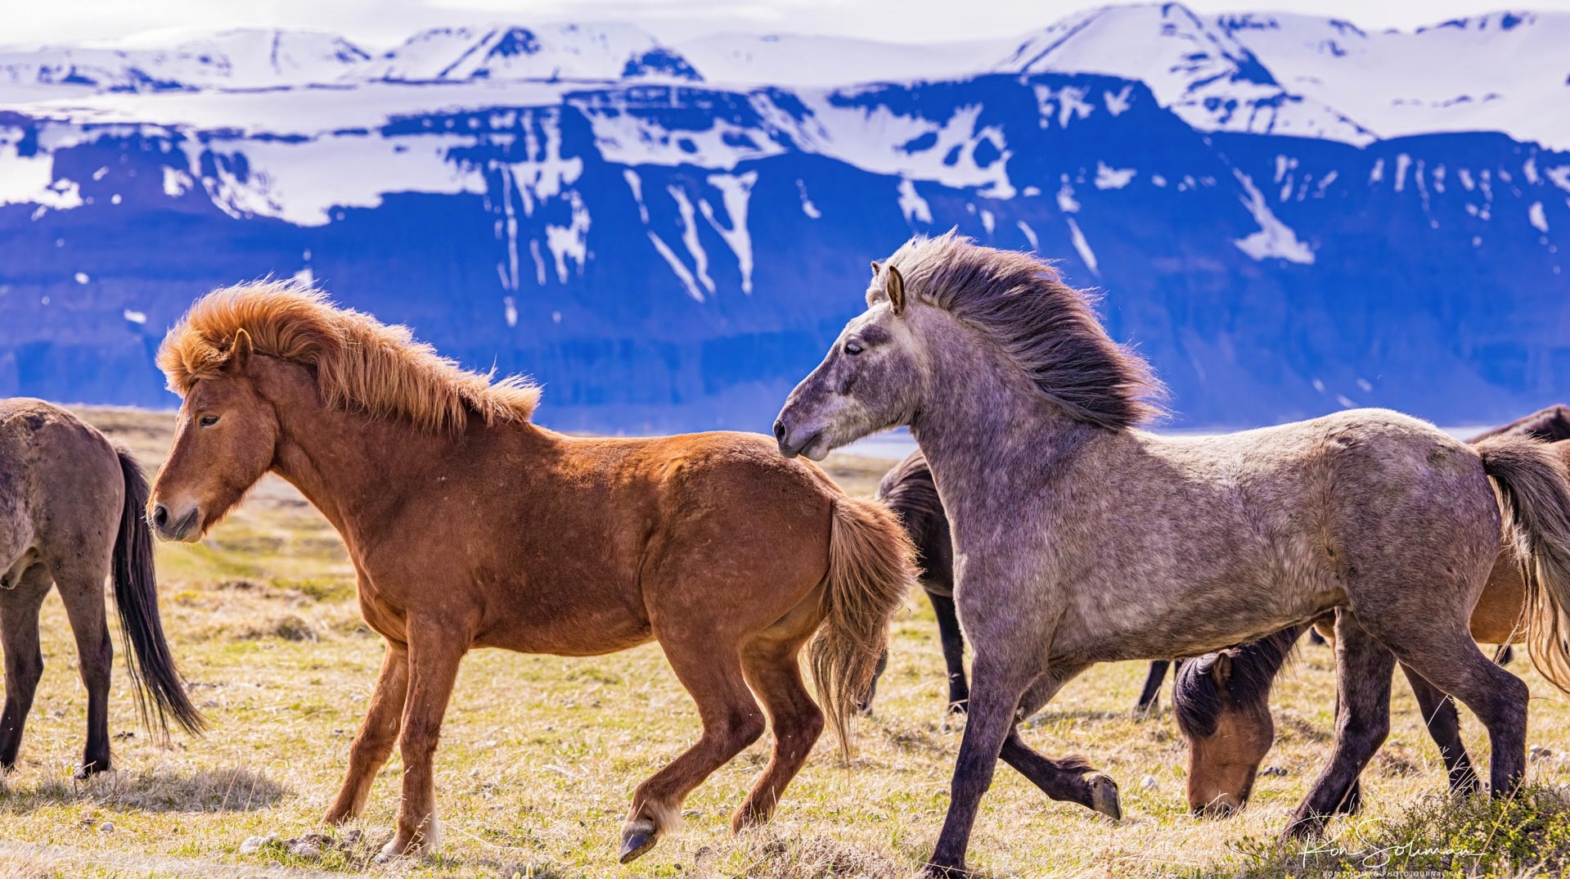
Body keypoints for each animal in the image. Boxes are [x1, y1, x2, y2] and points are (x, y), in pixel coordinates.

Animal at [0, 398, 203, 776]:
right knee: (23, 668)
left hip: (79, 571)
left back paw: (95, 760)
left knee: (96, 656)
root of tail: (105, 442)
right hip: (22, 582)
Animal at [145, 282, 917, 863]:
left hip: (695, 634)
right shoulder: (402, 642)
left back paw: (644, 817)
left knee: (736, 722)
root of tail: (829, 496)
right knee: (797, 725)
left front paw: (407, 842)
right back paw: (743, 829)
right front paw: (329, 830)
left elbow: (418, 733)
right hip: (765, 647)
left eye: (209, 416)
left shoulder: (440, 633)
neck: (415, 475)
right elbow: (372, 737)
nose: (161, 513)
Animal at [1175, 412, 1570, 816]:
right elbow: (1366, 714)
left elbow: (1437, 721)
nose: (1203, 807)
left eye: (1211, 728)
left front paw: (1462, 791)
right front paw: (1350, 802)